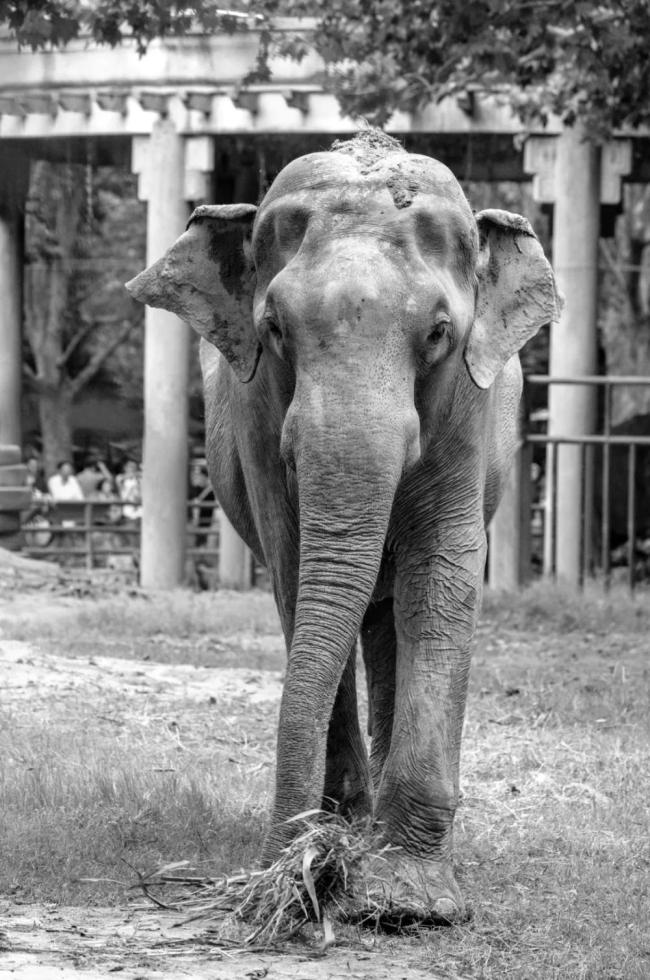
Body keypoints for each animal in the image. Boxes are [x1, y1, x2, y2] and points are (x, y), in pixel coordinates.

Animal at [126, 130, 561, 924]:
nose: (279, 872)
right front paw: (327, 850)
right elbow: (297, 570)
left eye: (438, 333)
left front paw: (408, 903)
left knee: (391, 614)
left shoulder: (469, 409)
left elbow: (441, 572)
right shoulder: (260, 420)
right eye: (273, 328)